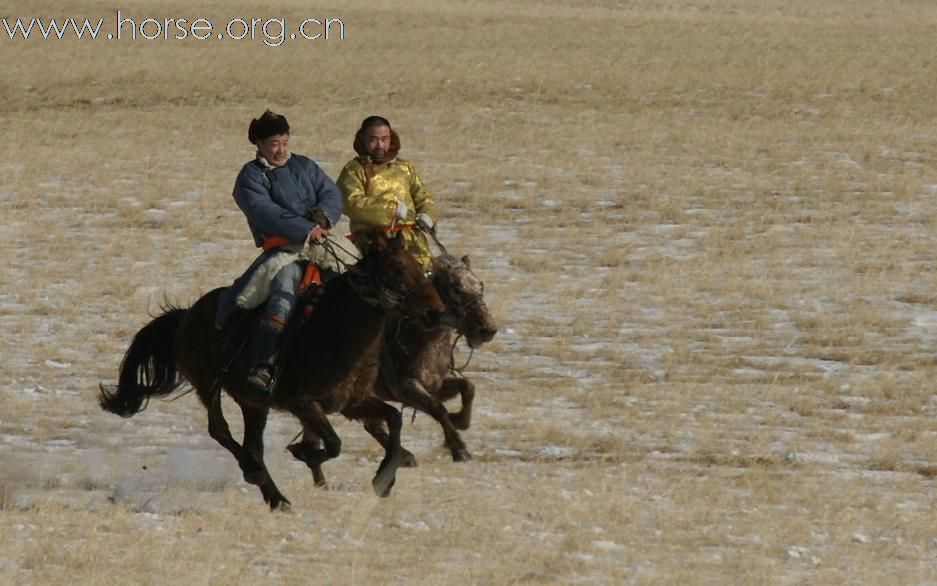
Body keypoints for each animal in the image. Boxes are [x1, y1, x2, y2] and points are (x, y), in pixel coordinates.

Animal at [99, 233, 446, 506]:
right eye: (398, 267)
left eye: (418, 264)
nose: (436, 312)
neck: (339, 330)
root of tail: (186, 316)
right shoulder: (304, 404)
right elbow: (334, 444)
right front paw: (304, 452)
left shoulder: (352, 403)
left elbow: (394, 418)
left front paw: (384, 479)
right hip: (209, 386)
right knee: (220, 431)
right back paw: (256, 475)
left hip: (254, 403)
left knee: (253, 445)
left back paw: (275, 496)